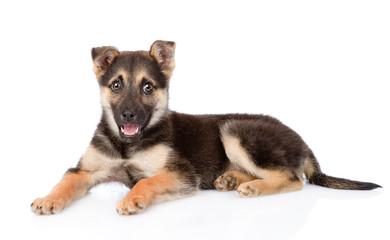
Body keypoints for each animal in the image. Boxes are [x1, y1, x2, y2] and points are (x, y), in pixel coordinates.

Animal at [31, 40, 380, 215]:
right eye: (116, 85)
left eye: (147, 87)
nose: (129, 115)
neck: (127, 144)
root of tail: (304, 143)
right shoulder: (86, 170)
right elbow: (65, 181)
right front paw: (49, 199)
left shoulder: (181, 173)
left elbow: (147, 181)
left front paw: (133, 199)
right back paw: (232, 179)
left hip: (234, 129)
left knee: (294, 179)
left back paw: (254, 187)